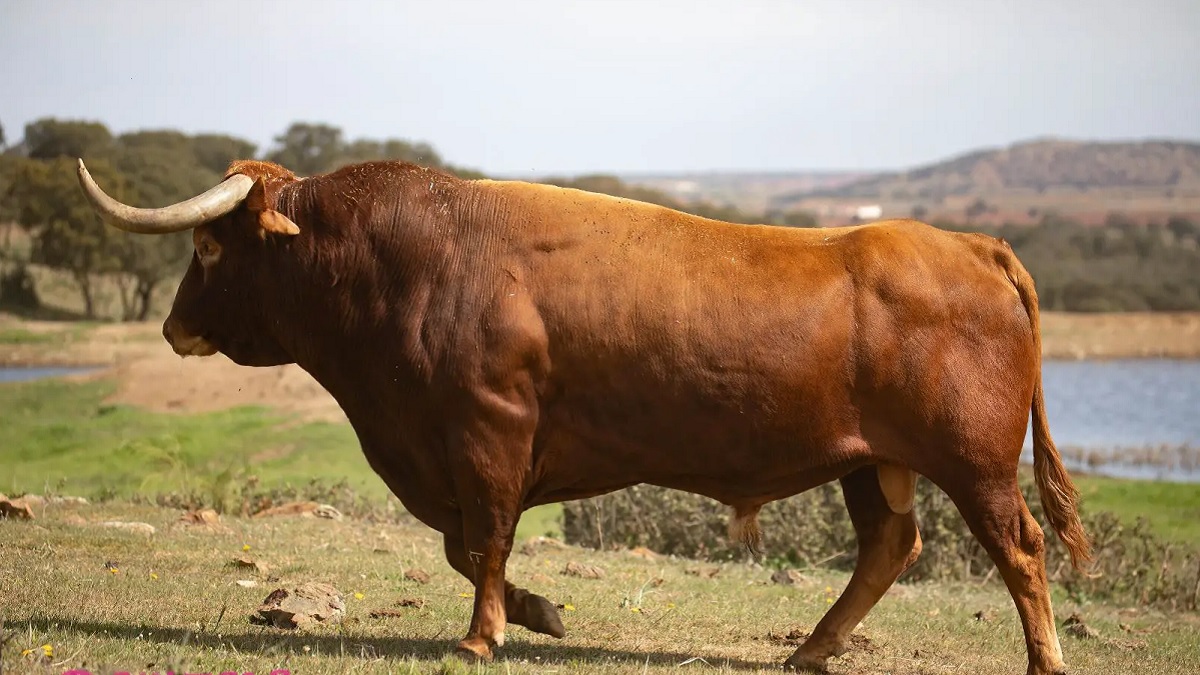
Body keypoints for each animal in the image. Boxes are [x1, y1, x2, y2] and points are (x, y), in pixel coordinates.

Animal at [75, 158, 1089, 672]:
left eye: (211, 245)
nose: (171, 325)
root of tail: (970, 244)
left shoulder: (488, 431)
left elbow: (482, 539)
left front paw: (482, 633)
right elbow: (467, 546)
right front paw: (540, 612)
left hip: (974, 462)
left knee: (1019, 549)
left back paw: (1043, 660)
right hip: (871, 462)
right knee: (890, 545)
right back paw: (808, 651)